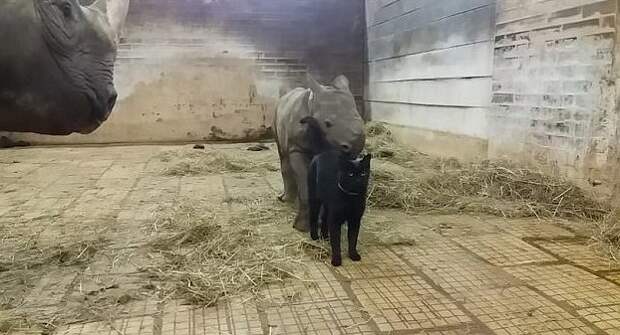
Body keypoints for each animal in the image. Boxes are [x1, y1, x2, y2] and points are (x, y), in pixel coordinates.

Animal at [274, 75, 366, 234]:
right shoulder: (297, 147)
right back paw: (285, 200)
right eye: (327, 123)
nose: (355, 146)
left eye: (360, 119)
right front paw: (302, 227)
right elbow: (304, 181)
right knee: (283, 154)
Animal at [302, 116, 370, 268]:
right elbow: (336, 242)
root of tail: (324, 151)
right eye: (351, 174)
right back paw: (315, 236)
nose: (358, 180)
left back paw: (325, 236)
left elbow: (352, 239)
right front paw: (337, 260)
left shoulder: (355, 219)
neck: (351, 198)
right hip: (315, 198)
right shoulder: (335, 220)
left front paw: (353, 255)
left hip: (328, 205)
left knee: (324, 218)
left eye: (363, 173)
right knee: (314, 216)